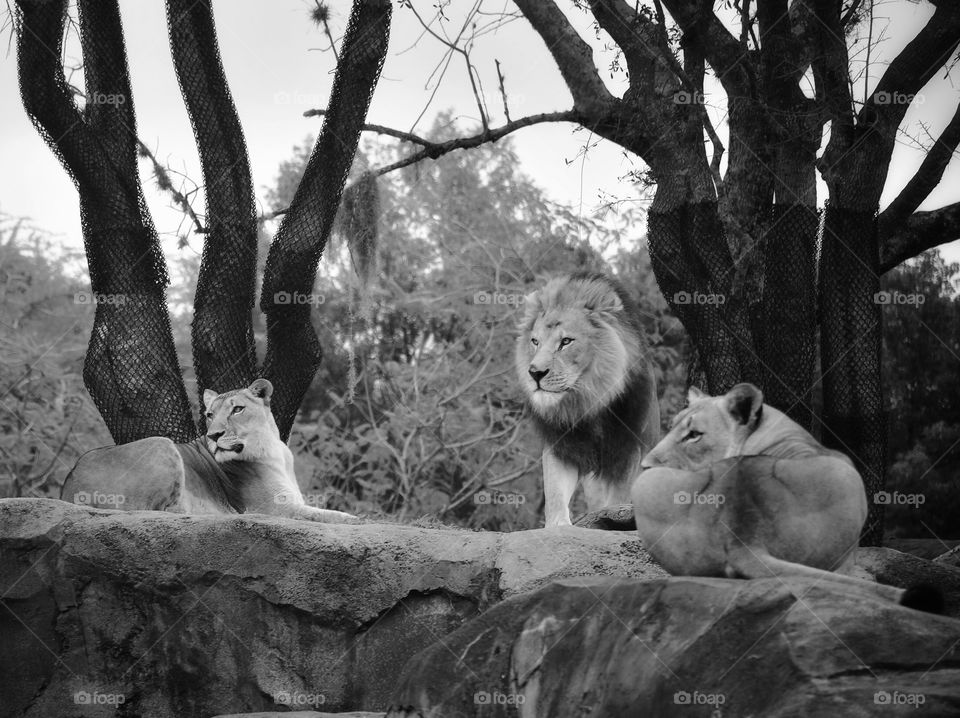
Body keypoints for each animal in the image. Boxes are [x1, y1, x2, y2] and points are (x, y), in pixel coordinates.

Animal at [61, 379, 356, 523]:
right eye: (210, 414)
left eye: (237, 409)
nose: (214, 435)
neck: (273, 448)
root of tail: (68, 486)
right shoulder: (276, 509)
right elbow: (331, 515)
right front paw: (356, 519)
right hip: (161, 444)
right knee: (155, 511)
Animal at [516, 272, 660, 526]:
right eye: (535, 342)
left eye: (566, 342)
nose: (535, 373)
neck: (588, 400)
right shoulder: (561, 445)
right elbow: (555, 492)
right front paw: (558, 526)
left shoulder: (629, 449)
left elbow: (619, 496)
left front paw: (614, 517)